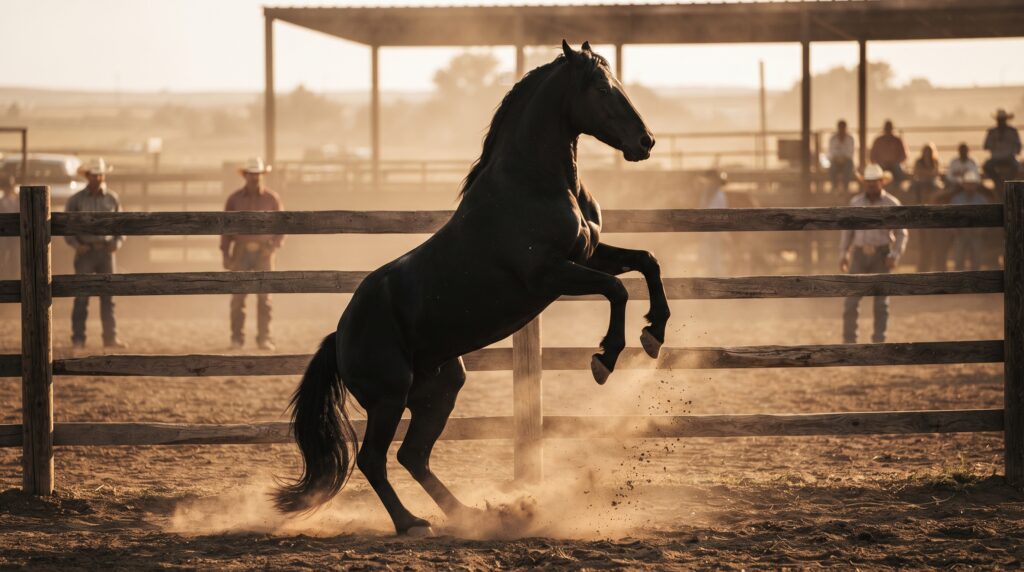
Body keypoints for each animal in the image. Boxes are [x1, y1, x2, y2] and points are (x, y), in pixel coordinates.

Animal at [274, 40, 669, 536]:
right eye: (600, 87)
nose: (646, 141)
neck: (533, 184)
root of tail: (339, 335)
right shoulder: (551, 275)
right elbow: (617, 289)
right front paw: (605, 358)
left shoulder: (587, 256)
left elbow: (646, 262)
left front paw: (655, 332)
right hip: (389, 396)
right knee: (374, 460)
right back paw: (411, 523)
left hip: (441, 388)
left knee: (413, 456)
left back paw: (467, 515)